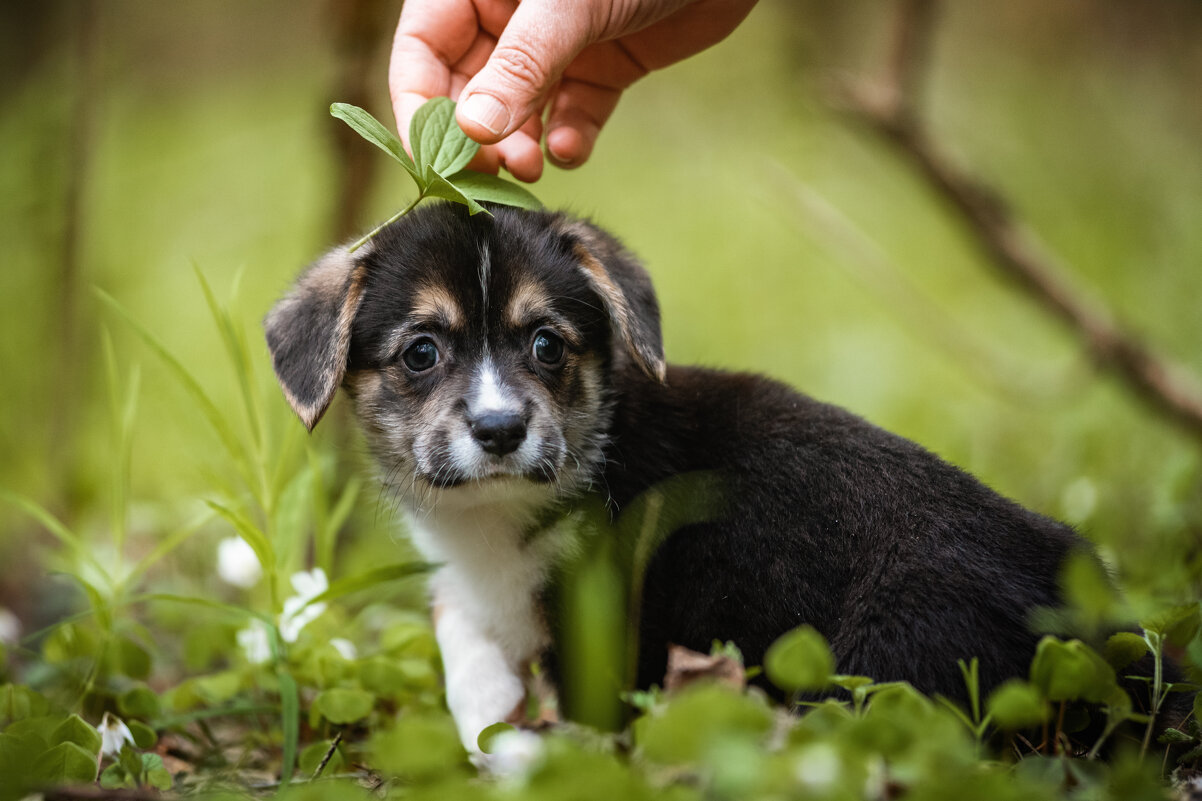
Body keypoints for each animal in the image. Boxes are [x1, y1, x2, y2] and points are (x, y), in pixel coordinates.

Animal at [268, 199, 1086, 750]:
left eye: (546, 344)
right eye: (421, 352)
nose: (500, 431)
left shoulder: (609, 633)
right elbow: (462, 637)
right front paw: (489, 715)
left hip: (894, 641)